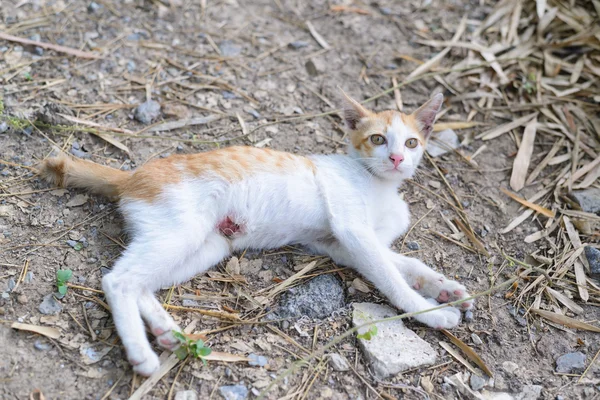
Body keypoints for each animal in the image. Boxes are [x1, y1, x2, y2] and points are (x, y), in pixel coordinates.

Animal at [38, 89, 474, 376]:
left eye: (412, 142)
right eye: (378, 140)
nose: (398, 158)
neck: (380, 186)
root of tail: (131, 176)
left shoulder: (337, 244)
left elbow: (403, 261)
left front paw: (443, 287)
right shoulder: (353, 232)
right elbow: (391, 278)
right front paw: (432, 311)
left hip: (205, 246)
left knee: (141, 282)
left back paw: (166, 333)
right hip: (181, 231)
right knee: (119, 280)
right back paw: (142, 355)